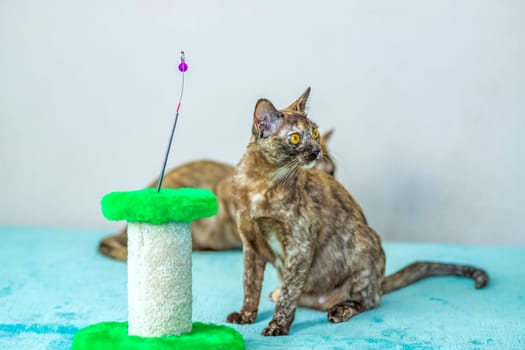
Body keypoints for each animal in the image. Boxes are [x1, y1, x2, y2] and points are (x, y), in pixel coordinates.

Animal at [225, 89, 488, 334]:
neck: (262, 184)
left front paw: (277, 327)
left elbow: (290, 293)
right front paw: (246, 316)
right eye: (296, 138)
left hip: (364, 243)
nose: (316, 150)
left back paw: (341, 309)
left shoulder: (300, 247)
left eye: (316, 133)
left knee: (369, 300)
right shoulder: (250, 245)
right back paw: (280, 293)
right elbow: (250, 285)